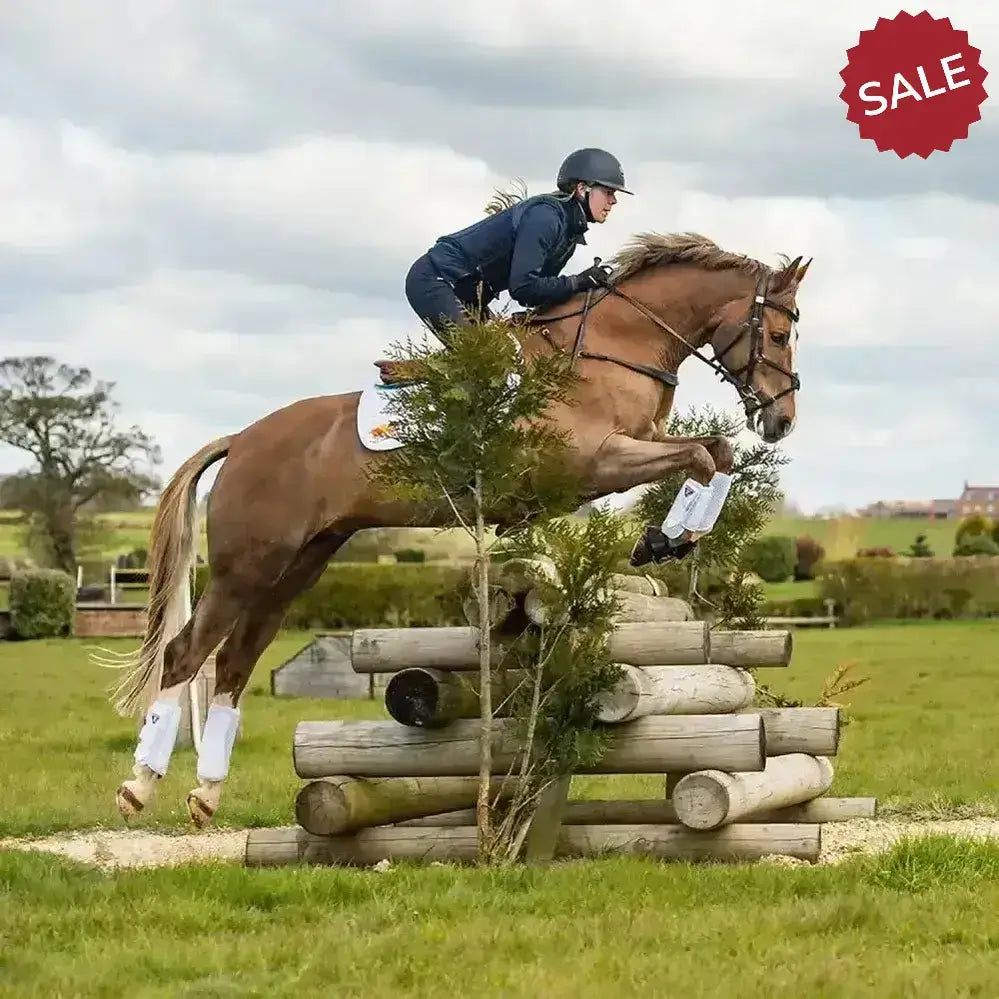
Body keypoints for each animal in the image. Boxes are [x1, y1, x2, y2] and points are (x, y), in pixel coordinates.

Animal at [106, 230, 810, 828]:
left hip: (296, 567)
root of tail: (242, 439)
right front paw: (665, 539)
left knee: (235, 660)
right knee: (187, 653)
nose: (782, 422)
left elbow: (715, 452)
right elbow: (703, 456)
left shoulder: (635, 445)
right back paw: (140, 786)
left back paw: (205, 794)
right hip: (247, 565)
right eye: (778, 333)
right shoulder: (595, 460)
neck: (617, 346)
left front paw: (667, 539)